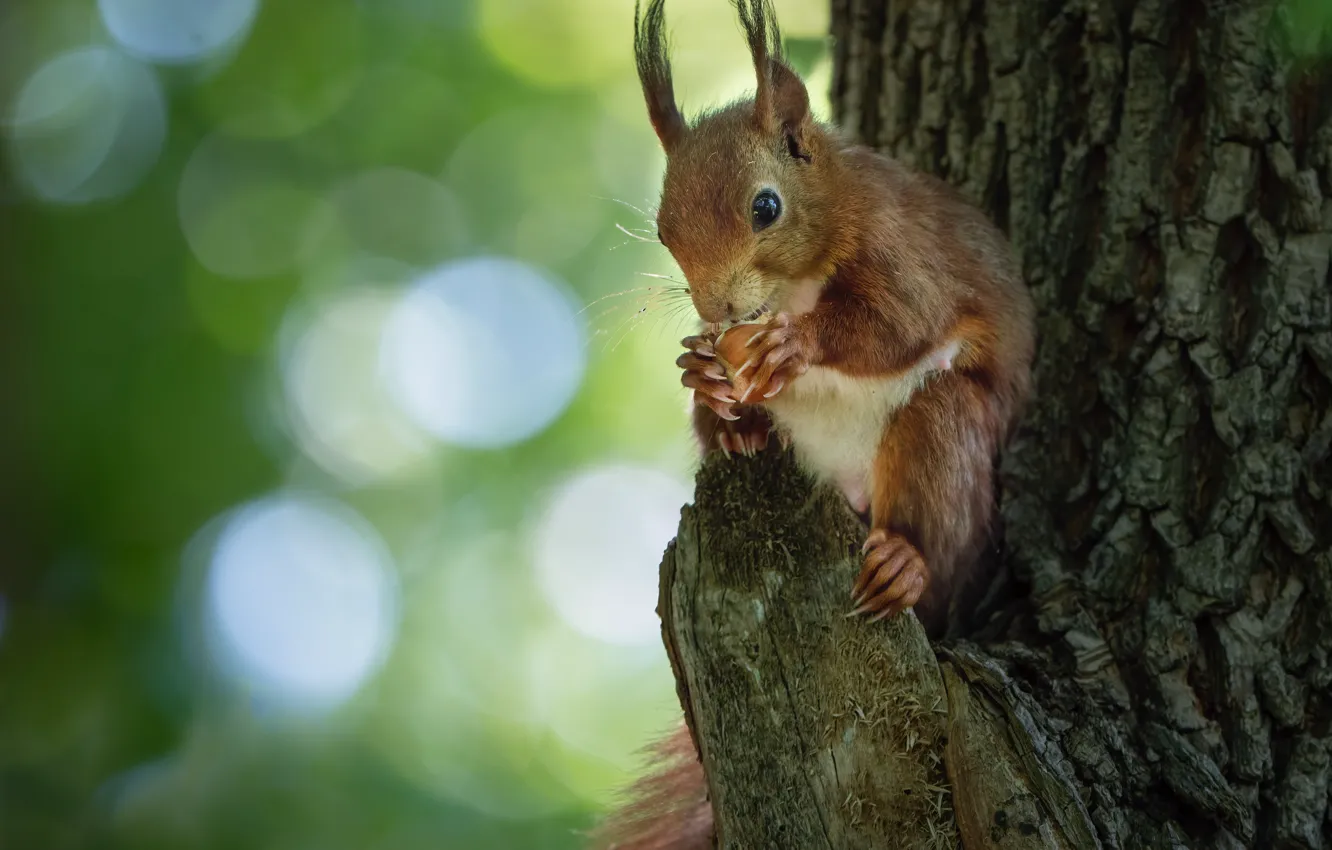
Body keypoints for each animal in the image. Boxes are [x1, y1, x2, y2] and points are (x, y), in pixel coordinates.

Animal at [588, 1, 1033, 847]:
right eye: (663, 229)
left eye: (766, 207)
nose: (719, 309)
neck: (791, 287)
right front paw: (703, 378)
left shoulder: (905, 251)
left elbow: (896, 323)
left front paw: (795, 346)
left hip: (946, 437)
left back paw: (904, 564)